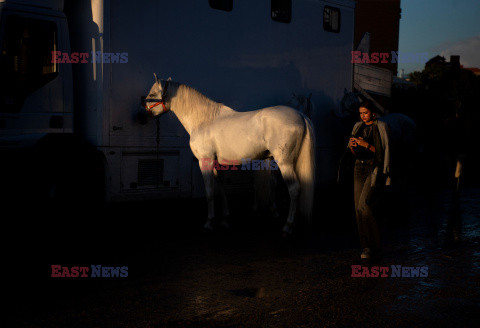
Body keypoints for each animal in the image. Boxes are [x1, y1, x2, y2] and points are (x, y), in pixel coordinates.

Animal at [142, 75, 316, 234]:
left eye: (152, 94)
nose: (143, 115)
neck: (204, 121)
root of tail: (301, 115)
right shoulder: (216, 163)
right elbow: (221, 188)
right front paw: (225, 219)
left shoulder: (205, 161)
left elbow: (210, 192)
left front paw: (209, 222)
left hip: (285, 163)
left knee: (294, 189)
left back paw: (288, 226)